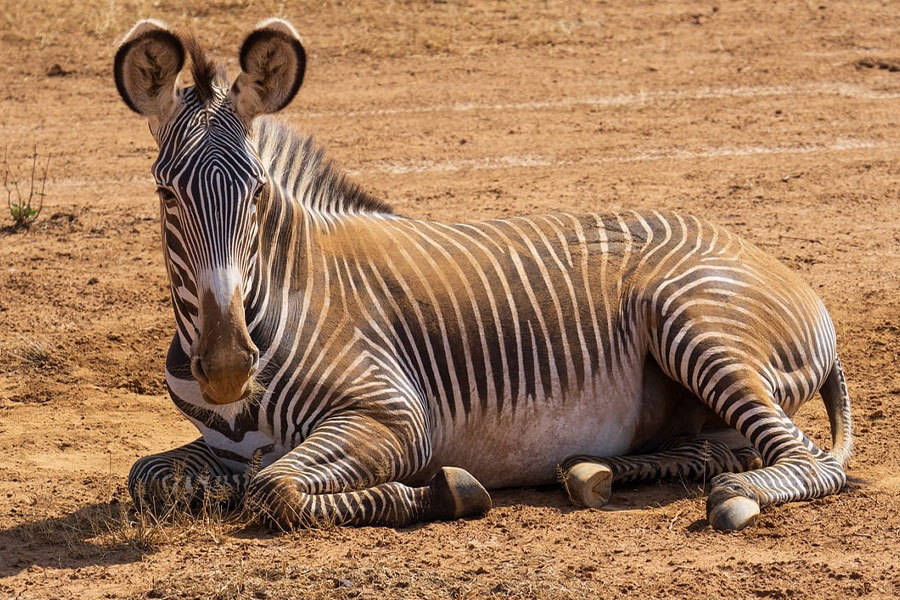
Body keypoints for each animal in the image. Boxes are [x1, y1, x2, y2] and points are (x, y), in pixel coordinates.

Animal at [113, 18, 852, 532]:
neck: (284, 286)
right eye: (165, 194)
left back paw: (735, 501)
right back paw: (590, 471)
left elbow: (275, 491)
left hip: (698, 326)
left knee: (806, 460)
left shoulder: (394, 414)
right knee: (727, 449)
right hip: (696, 398)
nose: (229, 368)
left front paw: (444, 491)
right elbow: (145, 474)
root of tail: (767, 260)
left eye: (259, 192)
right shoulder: (222, 448)